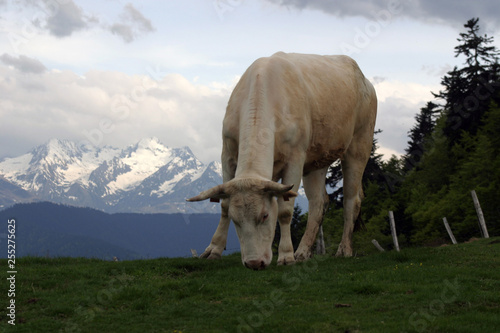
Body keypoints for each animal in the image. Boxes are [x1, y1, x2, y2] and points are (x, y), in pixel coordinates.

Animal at [187, 52, 376, 270]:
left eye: (265, 215)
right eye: (236, 220)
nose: (254, 263)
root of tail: (364, 79)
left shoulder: (295, 159)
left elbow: (285, 210)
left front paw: (286, 255)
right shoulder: (227, 154)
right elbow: (224, 205)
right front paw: (213, 250)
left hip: (360, 144)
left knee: (351, 200)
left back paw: (343, 249)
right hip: (317, 160)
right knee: (319, 202)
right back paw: (303, 251)